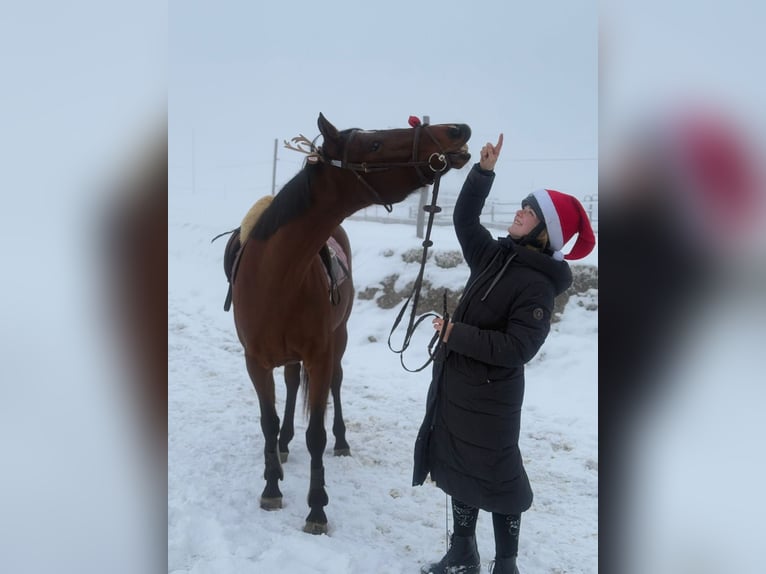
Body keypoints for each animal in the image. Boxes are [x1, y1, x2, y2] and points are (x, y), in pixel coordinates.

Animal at [229, 112, 471, 534]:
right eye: (374, 144)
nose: (456, 130)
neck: (275, 276)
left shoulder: (321, 355)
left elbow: (317, 434)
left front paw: (316, 508)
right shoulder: (255, 361)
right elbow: (268, 422)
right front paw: (272, 487)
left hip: (337, 341)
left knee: (335, 386)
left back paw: (339, 442)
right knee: (291, 385)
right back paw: (284, 444)